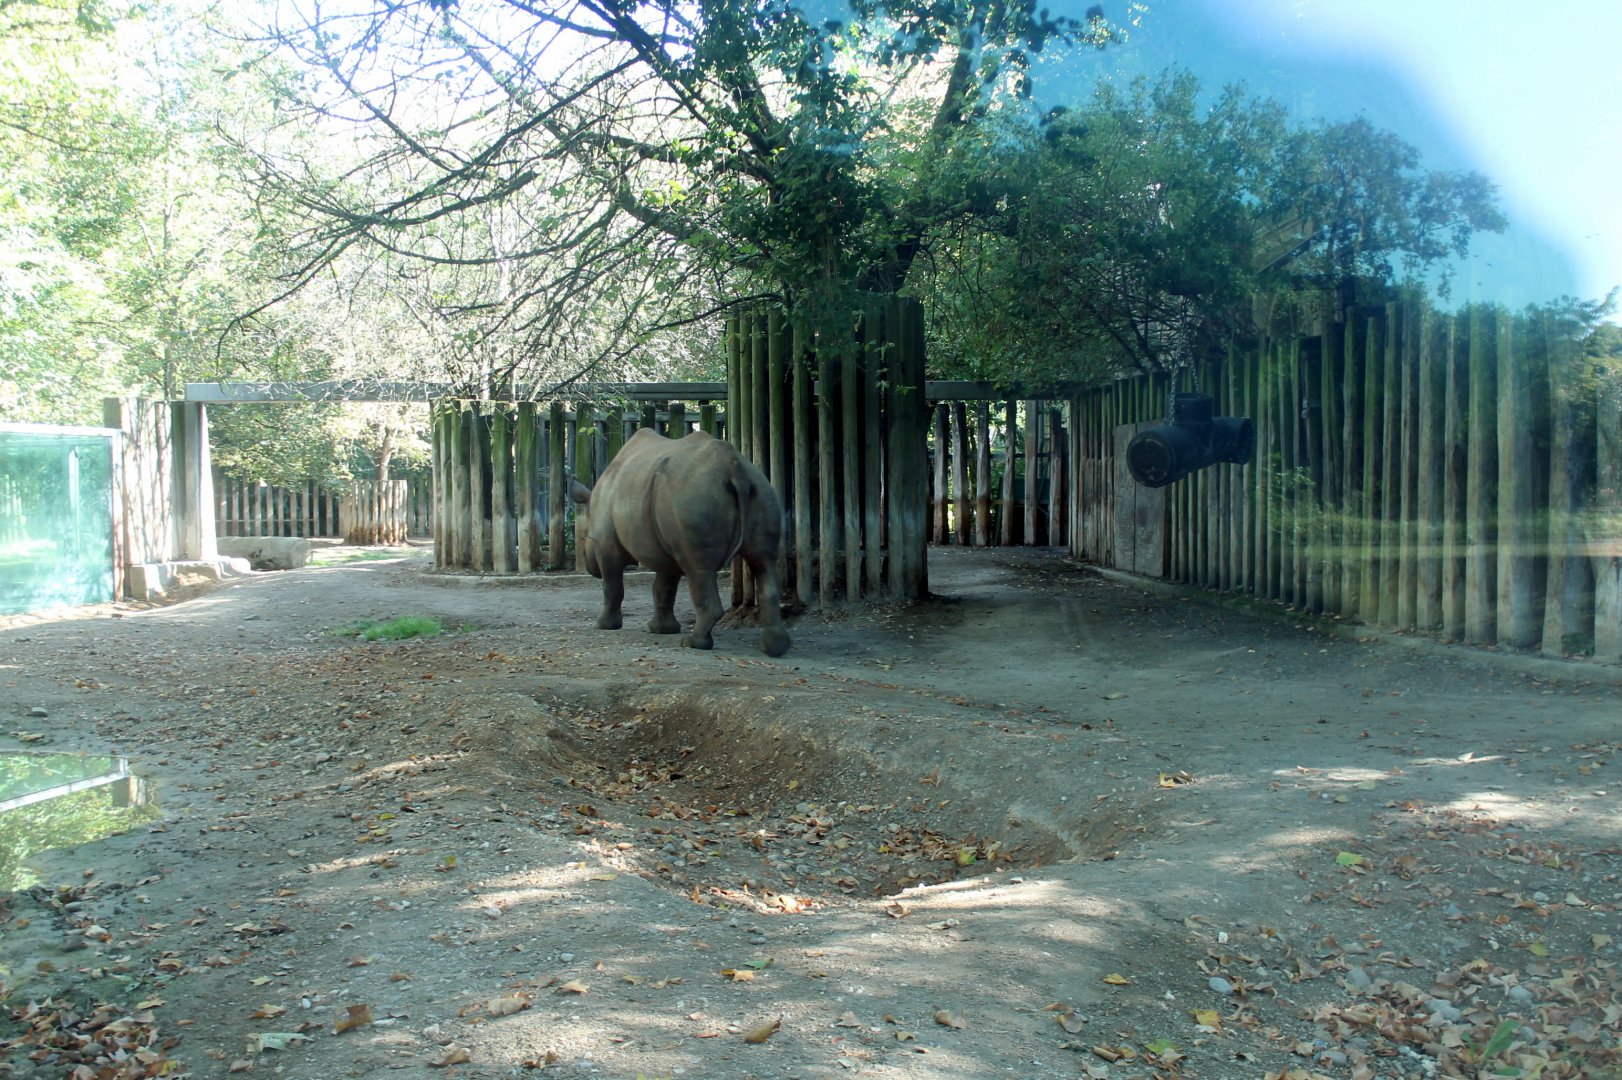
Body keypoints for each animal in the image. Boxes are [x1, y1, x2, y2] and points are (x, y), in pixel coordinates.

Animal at [569, 429, 790, 657]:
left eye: (586, 540)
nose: (590, 568)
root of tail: (735, 467)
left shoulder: (606, 545)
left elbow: (612, 586)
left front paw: (603, 626)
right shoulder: (666, 547)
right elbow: (663, 588)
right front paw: (661, 630)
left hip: (694, 496)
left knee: (699, 569)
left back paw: (693, 643)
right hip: (761, 490)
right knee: (763, 562)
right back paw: (775, 648)